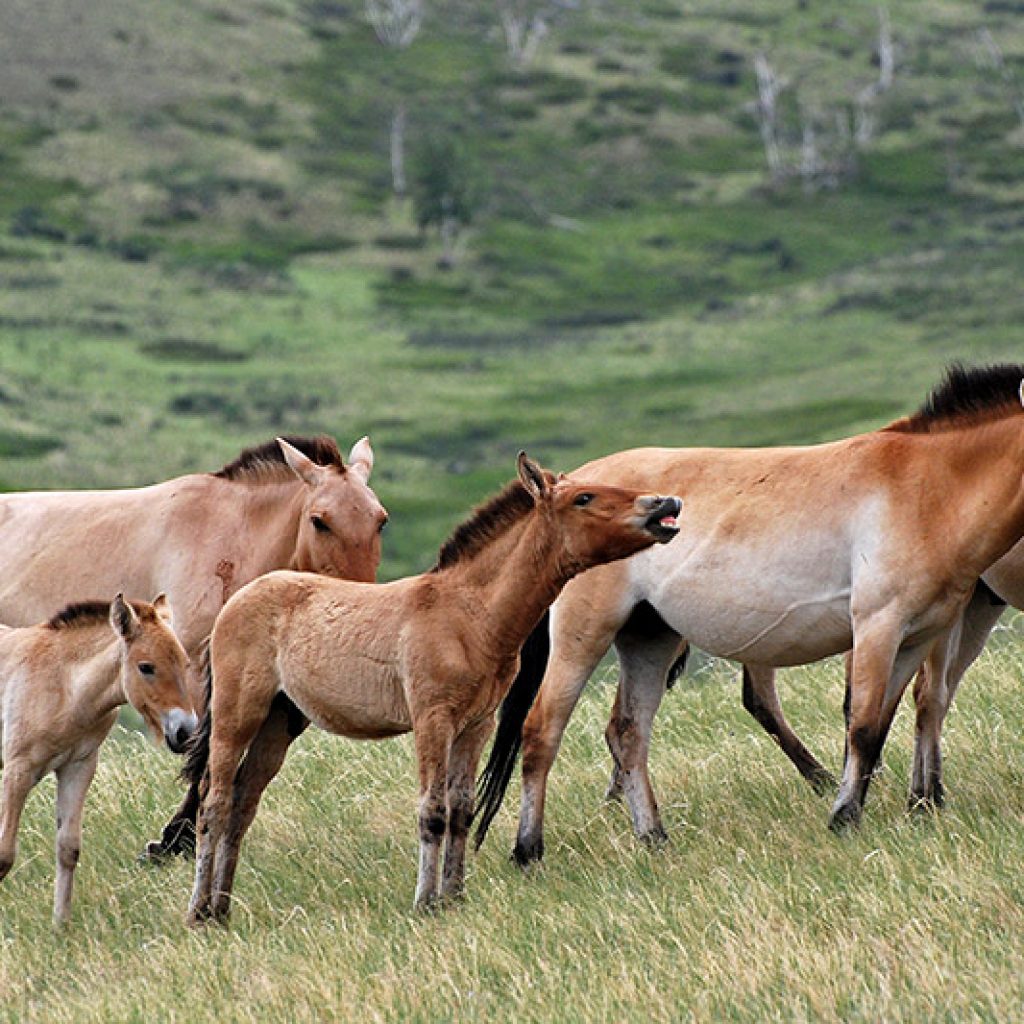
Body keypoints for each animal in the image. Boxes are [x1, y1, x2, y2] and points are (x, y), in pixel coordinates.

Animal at [0, 432, 387, 856]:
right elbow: (205, 759)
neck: (235, 541)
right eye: (320, 522)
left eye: (381, 521)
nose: (358, 605)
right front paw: (174, 842)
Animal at [186, 452, 679, 925]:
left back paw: (222, 908)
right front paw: (426, 902)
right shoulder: (432, 720)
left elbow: (461, 809)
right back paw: (198, 913)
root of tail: (235, 602)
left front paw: (455, 897)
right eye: (584, 498)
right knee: (215, 803)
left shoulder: (476, 724)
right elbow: (433, 811)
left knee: (243, 805)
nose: (665, 505)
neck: (469, 616)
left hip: (278, 722)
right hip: (237, 714)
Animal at [471, 364, 1024, 860]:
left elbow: (887, 723)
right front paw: (844, 818)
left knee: (628, 733)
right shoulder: (877, 626)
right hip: (584, 635)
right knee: (542, 731)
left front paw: (897, 806)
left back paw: (654, 839)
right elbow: (864, 725)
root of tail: (561, 487)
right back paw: (528, 851)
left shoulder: (916, 636)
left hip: (650, 637)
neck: (928, 487)